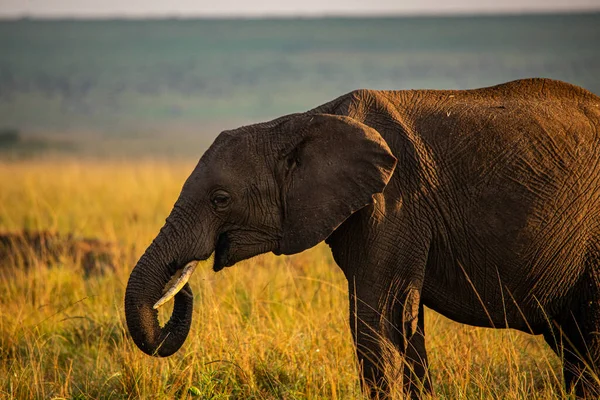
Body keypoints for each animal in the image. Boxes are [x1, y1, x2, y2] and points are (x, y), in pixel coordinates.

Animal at [124, 77, 600, 396]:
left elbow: (377, 317)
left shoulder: (397, 200)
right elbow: (397, 321)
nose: (183, 287)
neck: (303, 120)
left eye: (221, 199)